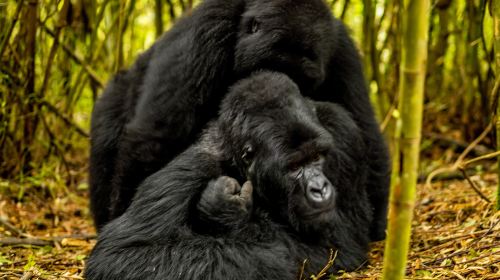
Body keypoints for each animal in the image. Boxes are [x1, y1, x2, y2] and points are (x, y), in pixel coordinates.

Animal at [85, 72, 376, 280]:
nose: (319, 188)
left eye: (317, 157)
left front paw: (227, 214)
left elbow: (341, 243)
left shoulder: (343, 133)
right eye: (294, 167)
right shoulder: (198, 160)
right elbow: (122, 254)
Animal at [88, 0, 388, 242]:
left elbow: (363, 127)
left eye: (301, 83)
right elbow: (156, 136)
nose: (278, 92)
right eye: (266, 68)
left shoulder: (340, 48)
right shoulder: (207, 31)